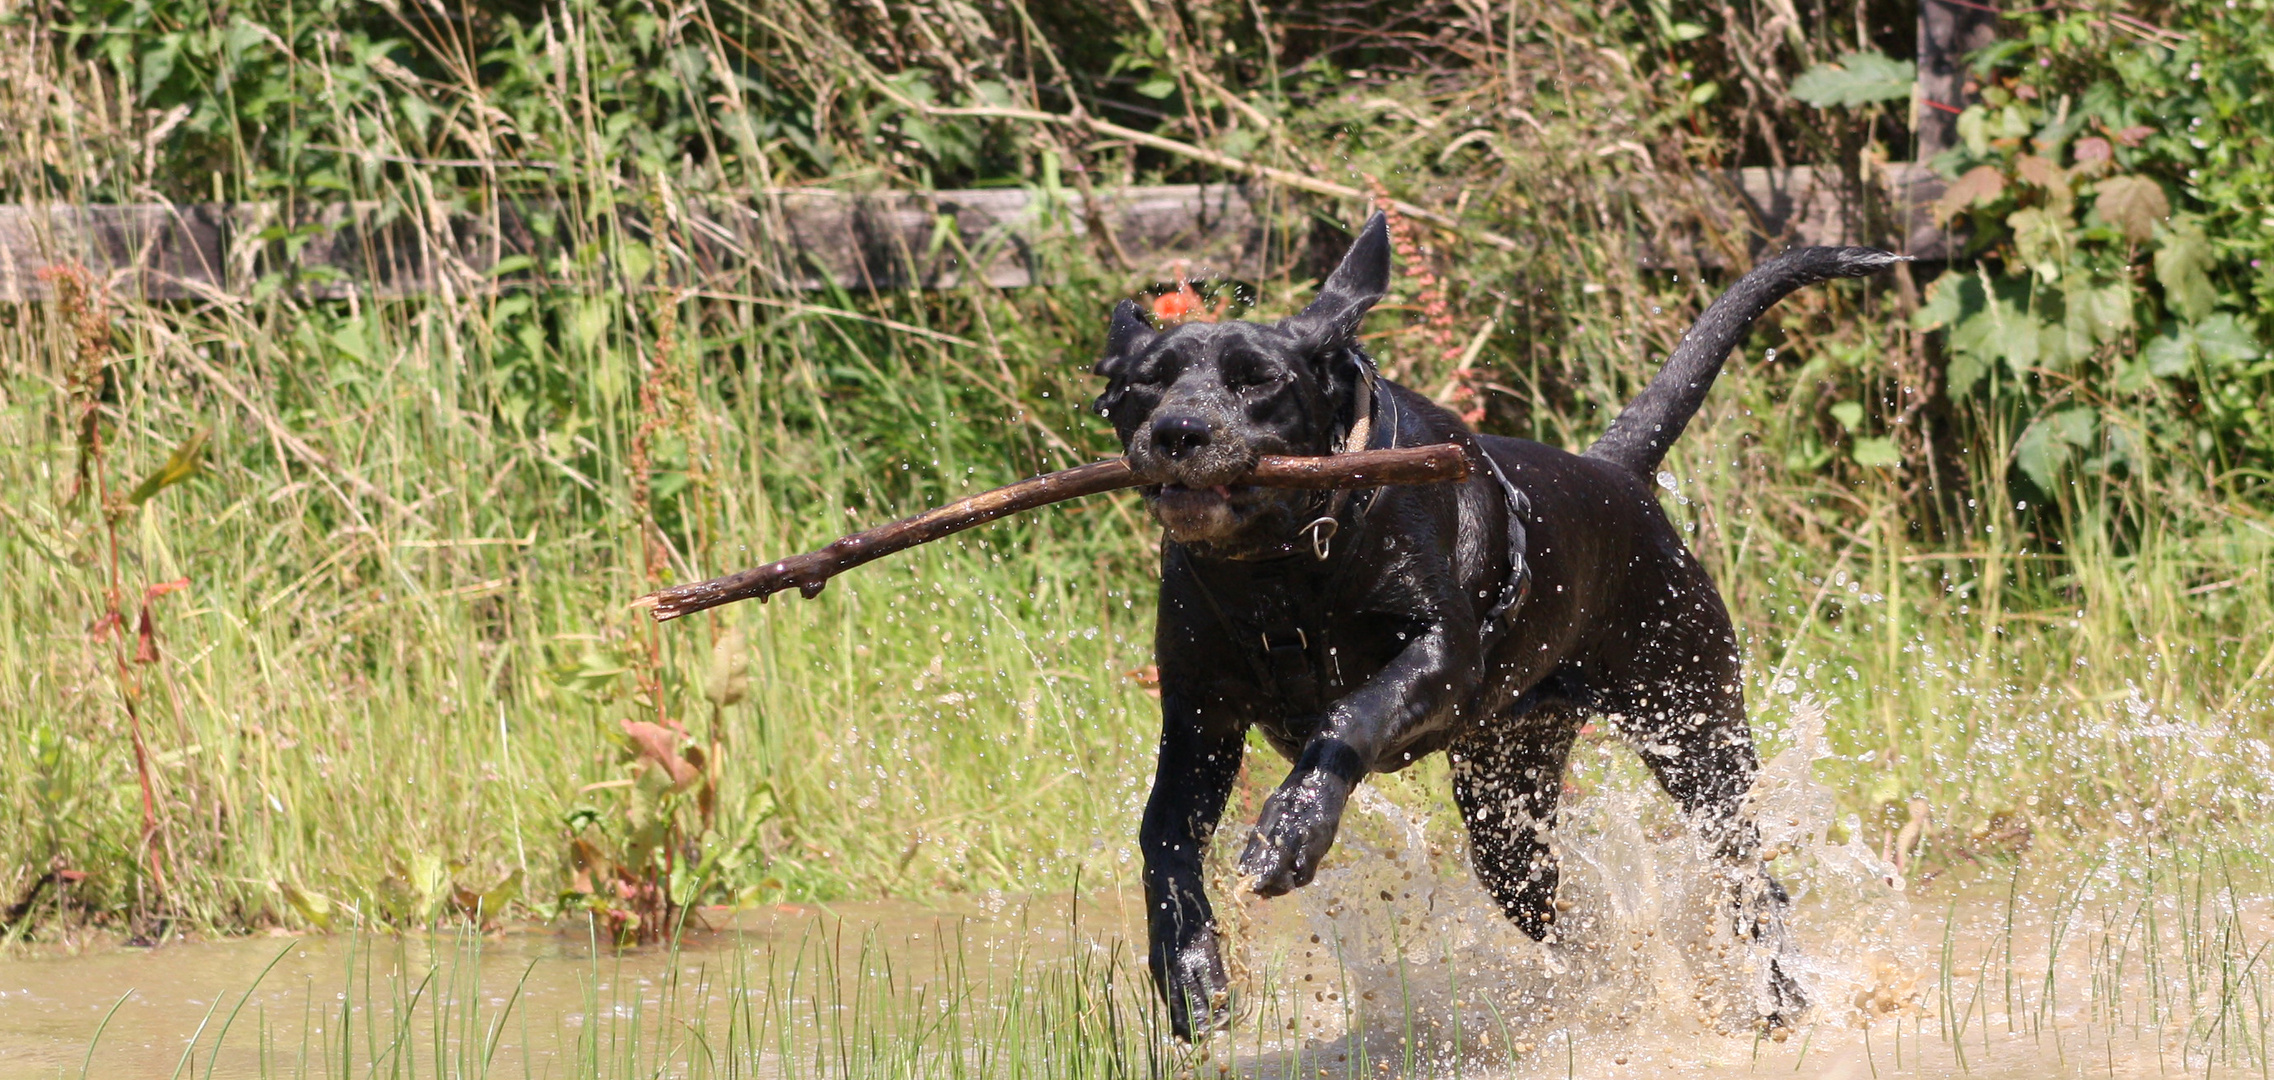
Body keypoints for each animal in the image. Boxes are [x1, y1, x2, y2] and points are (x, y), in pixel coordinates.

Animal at [1091, 213, 1910, 1041]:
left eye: (1256, 377)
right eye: (1145, 383)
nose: (1178, 431)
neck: (1280, 570)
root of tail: (1616, 472)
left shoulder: (1443, 658)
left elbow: (1352, 712)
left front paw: (1292, 828)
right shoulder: (1200, 718)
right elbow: (1163, 835)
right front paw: (1188, 966)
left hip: (1696, 732)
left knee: (1750, 877)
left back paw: (1780, 993)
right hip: (1509, 808)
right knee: (1554, 909)